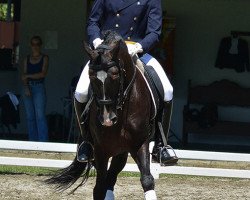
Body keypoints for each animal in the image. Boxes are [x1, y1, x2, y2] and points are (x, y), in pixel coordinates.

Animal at [46, 30, 156, 199]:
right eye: (91, 75)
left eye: (115, 74)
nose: (107, 119)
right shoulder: (100, 150)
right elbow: (99, 188)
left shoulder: (140, 143)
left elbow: (147, 179)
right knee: (107, 180)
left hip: (121, 152)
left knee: (111, 178)